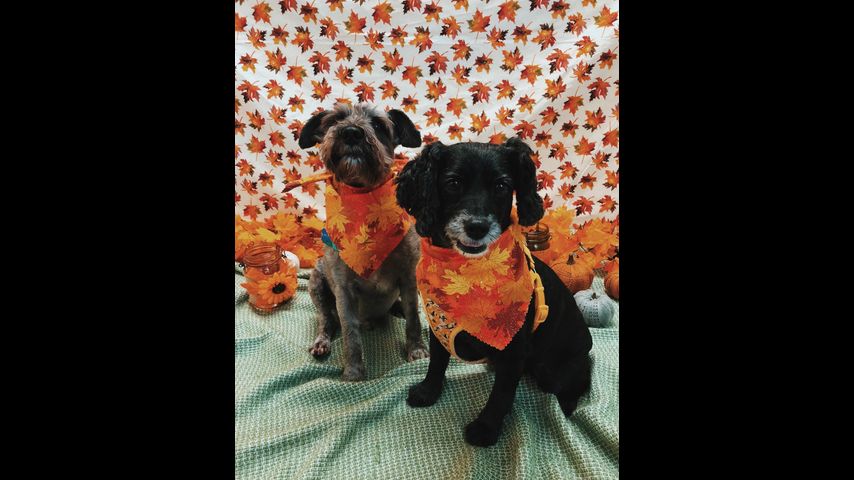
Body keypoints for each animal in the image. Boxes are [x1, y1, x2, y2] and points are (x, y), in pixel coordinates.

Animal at [298, 103, 427, 381]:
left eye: (379, 125)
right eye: (334, 120)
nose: (351, 133)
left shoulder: (409, 276)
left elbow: (413, 317)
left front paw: (417, 350)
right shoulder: (344, 290)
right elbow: (350, 333)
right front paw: (354, 373)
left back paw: (397, 308)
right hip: (316, 282)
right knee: (326, 320)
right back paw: (322, 342)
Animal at [394, 137, 593, 446]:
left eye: (501, 186)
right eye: (453, 183)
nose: (477, 227)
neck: (468, 274)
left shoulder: (513, 351)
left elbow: (501, 394)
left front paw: (486, 429)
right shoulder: (439, 326)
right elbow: (437, 363)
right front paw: (428, 391)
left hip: (557, 370)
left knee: (578, 380)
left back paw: (568, 405)